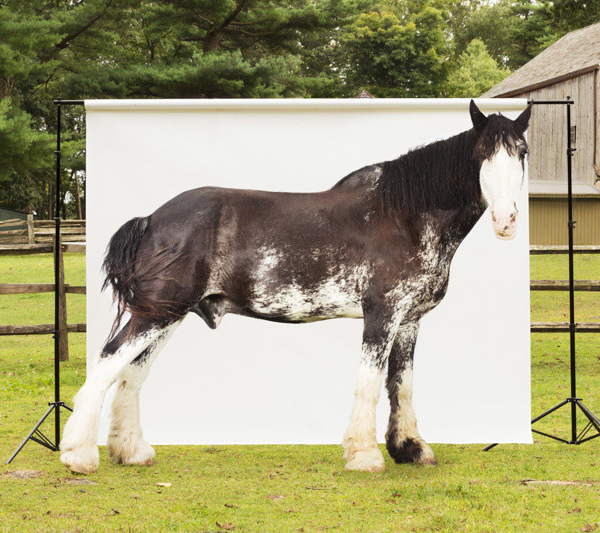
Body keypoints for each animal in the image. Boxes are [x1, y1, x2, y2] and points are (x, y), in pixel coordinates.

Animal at [61, 102, 528, 472]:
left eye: (521, 153)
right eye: (482, 153)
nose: (506, 220)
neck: (403, 215)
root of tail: (152, 219)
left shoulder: (409, 321)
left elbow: (402, 383)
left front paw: (410, 449)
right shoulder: (381, 315)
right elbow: (369, 381)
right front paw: (364, 455)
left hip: (166, 316)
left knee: (133, 374)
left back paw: (131, 451)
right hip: (156, 313)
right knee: (106, 363)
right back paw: (78, 454)